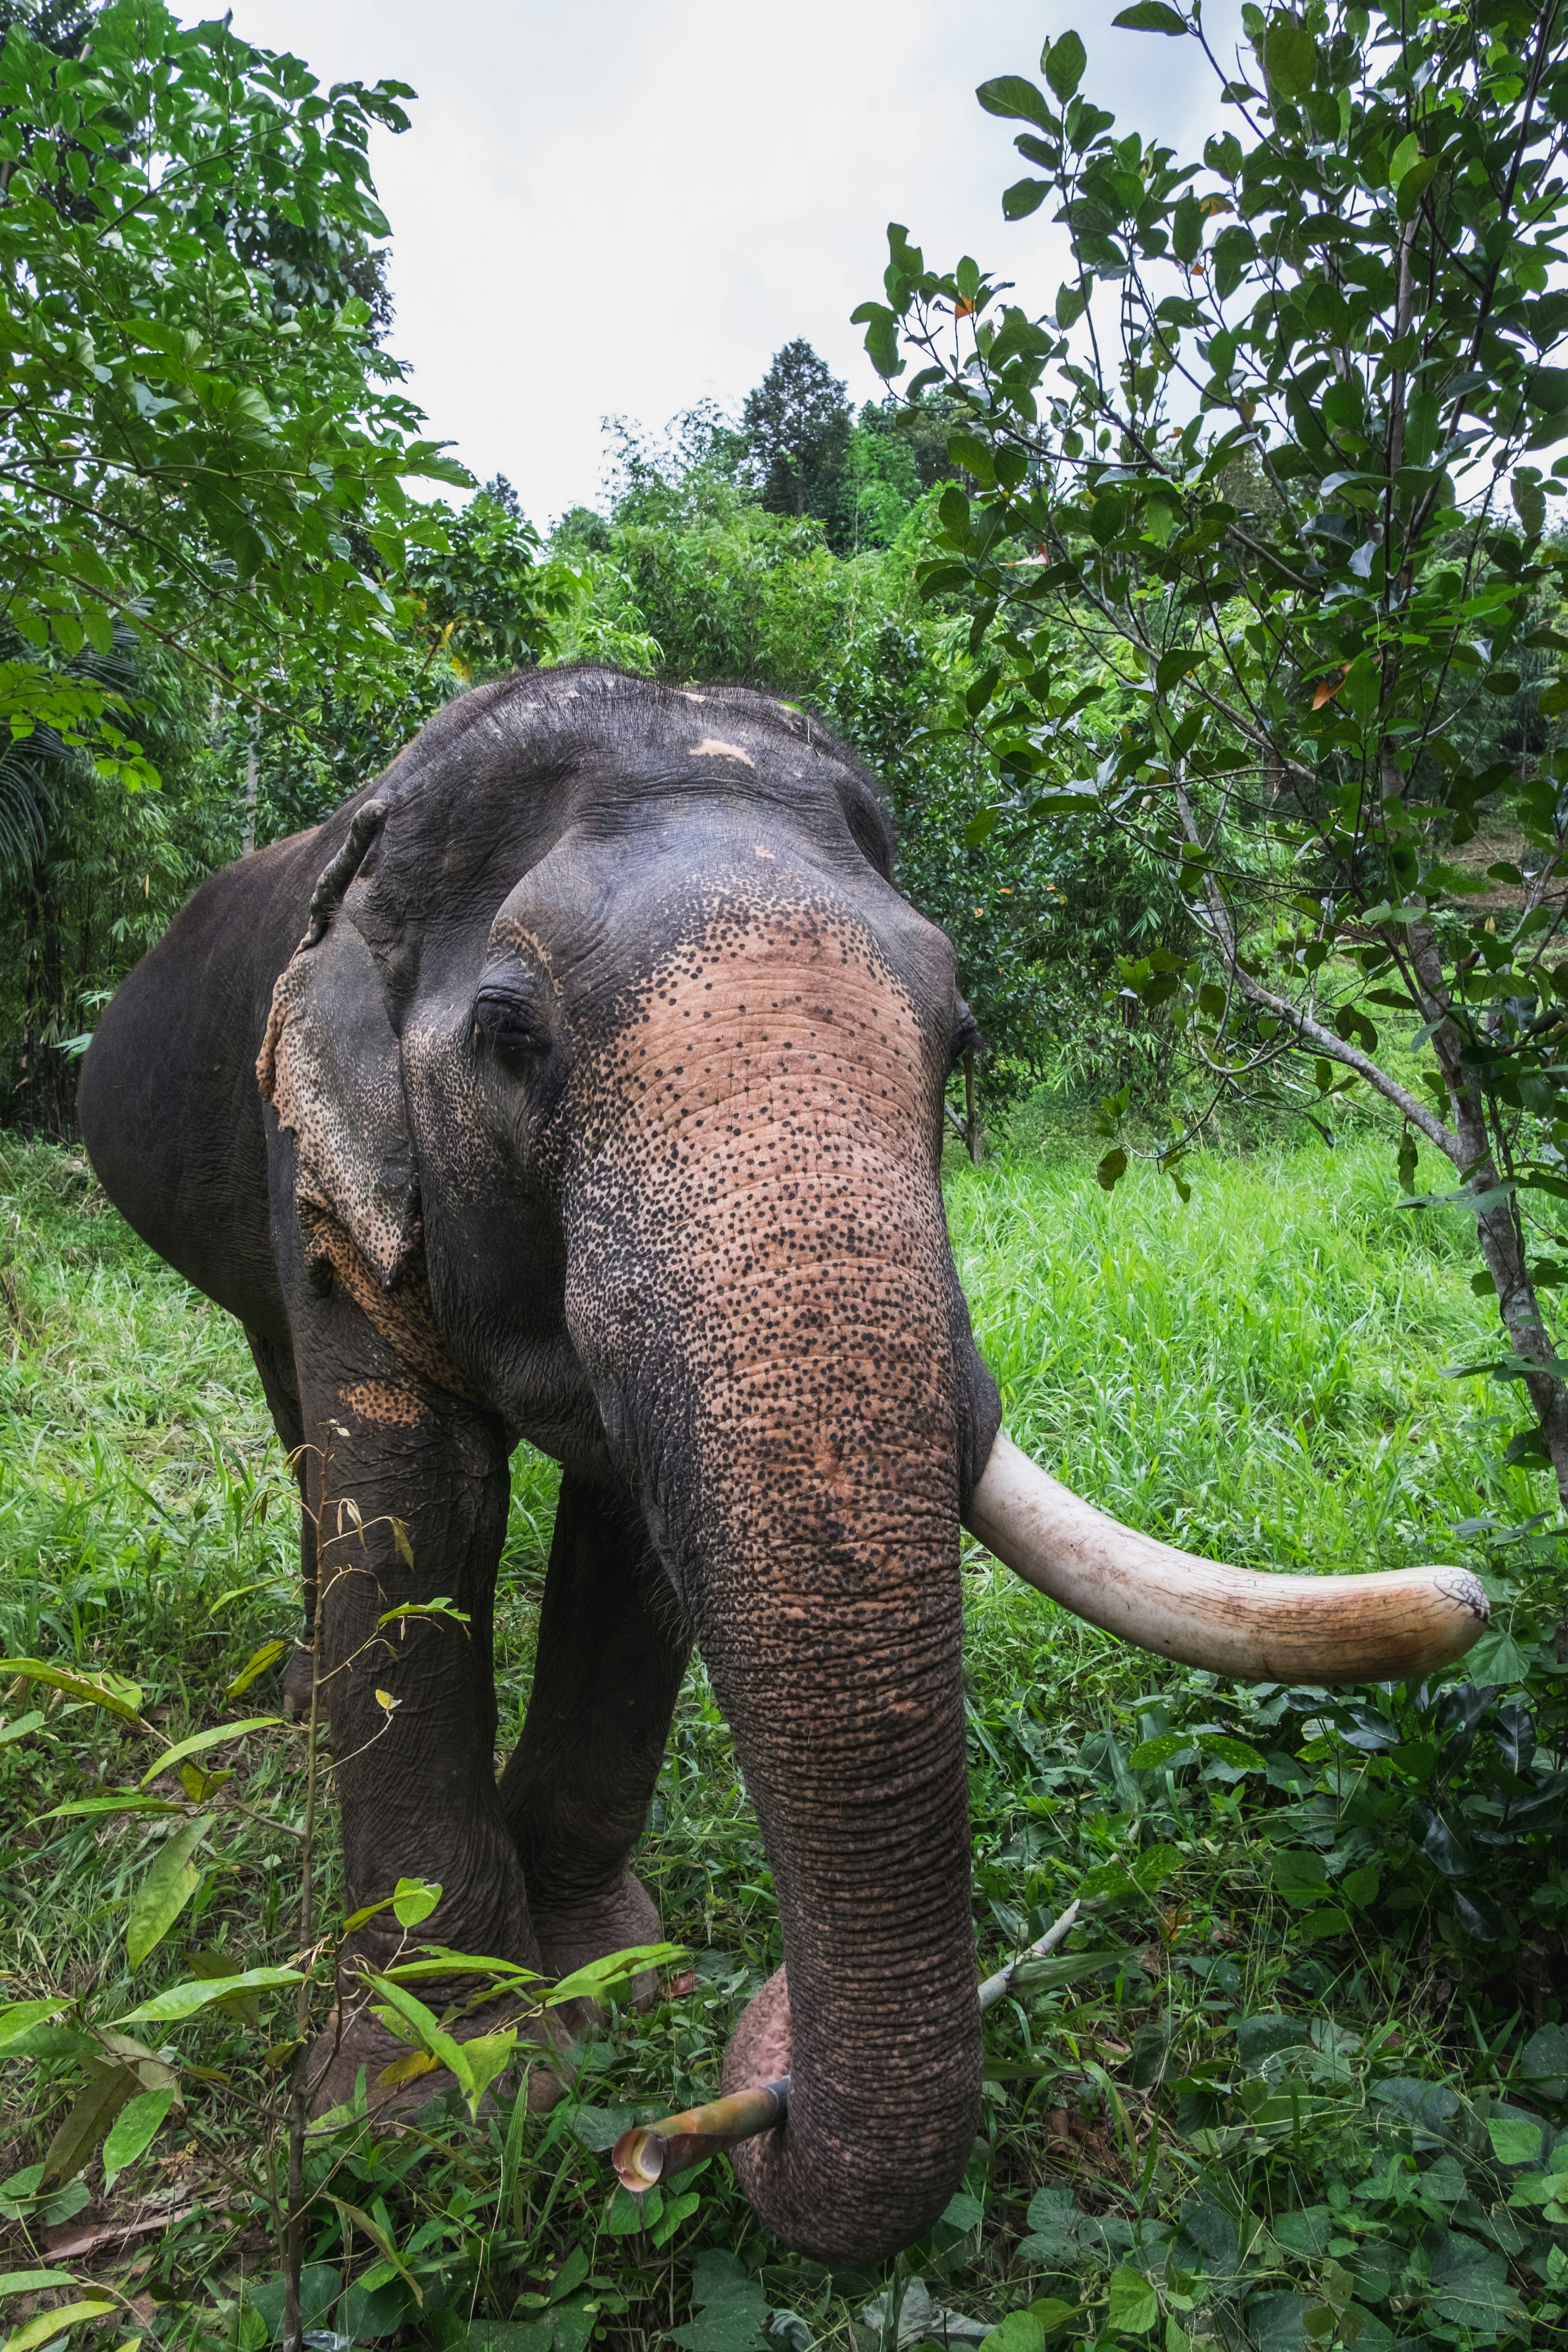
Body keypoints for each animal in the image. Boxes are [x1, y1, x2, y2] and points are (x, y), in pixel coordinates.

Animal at [78, 665, 1487, 2264]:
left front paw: (624, 1985)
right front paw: (435, 2115)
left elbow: (633, 1546)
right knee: (291, 1407)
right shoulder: (321, 1158)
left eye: (960, 1040)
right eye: (511, 1035)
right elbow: (416, 1522)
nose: (732, 2101)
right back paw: (310, 1708)